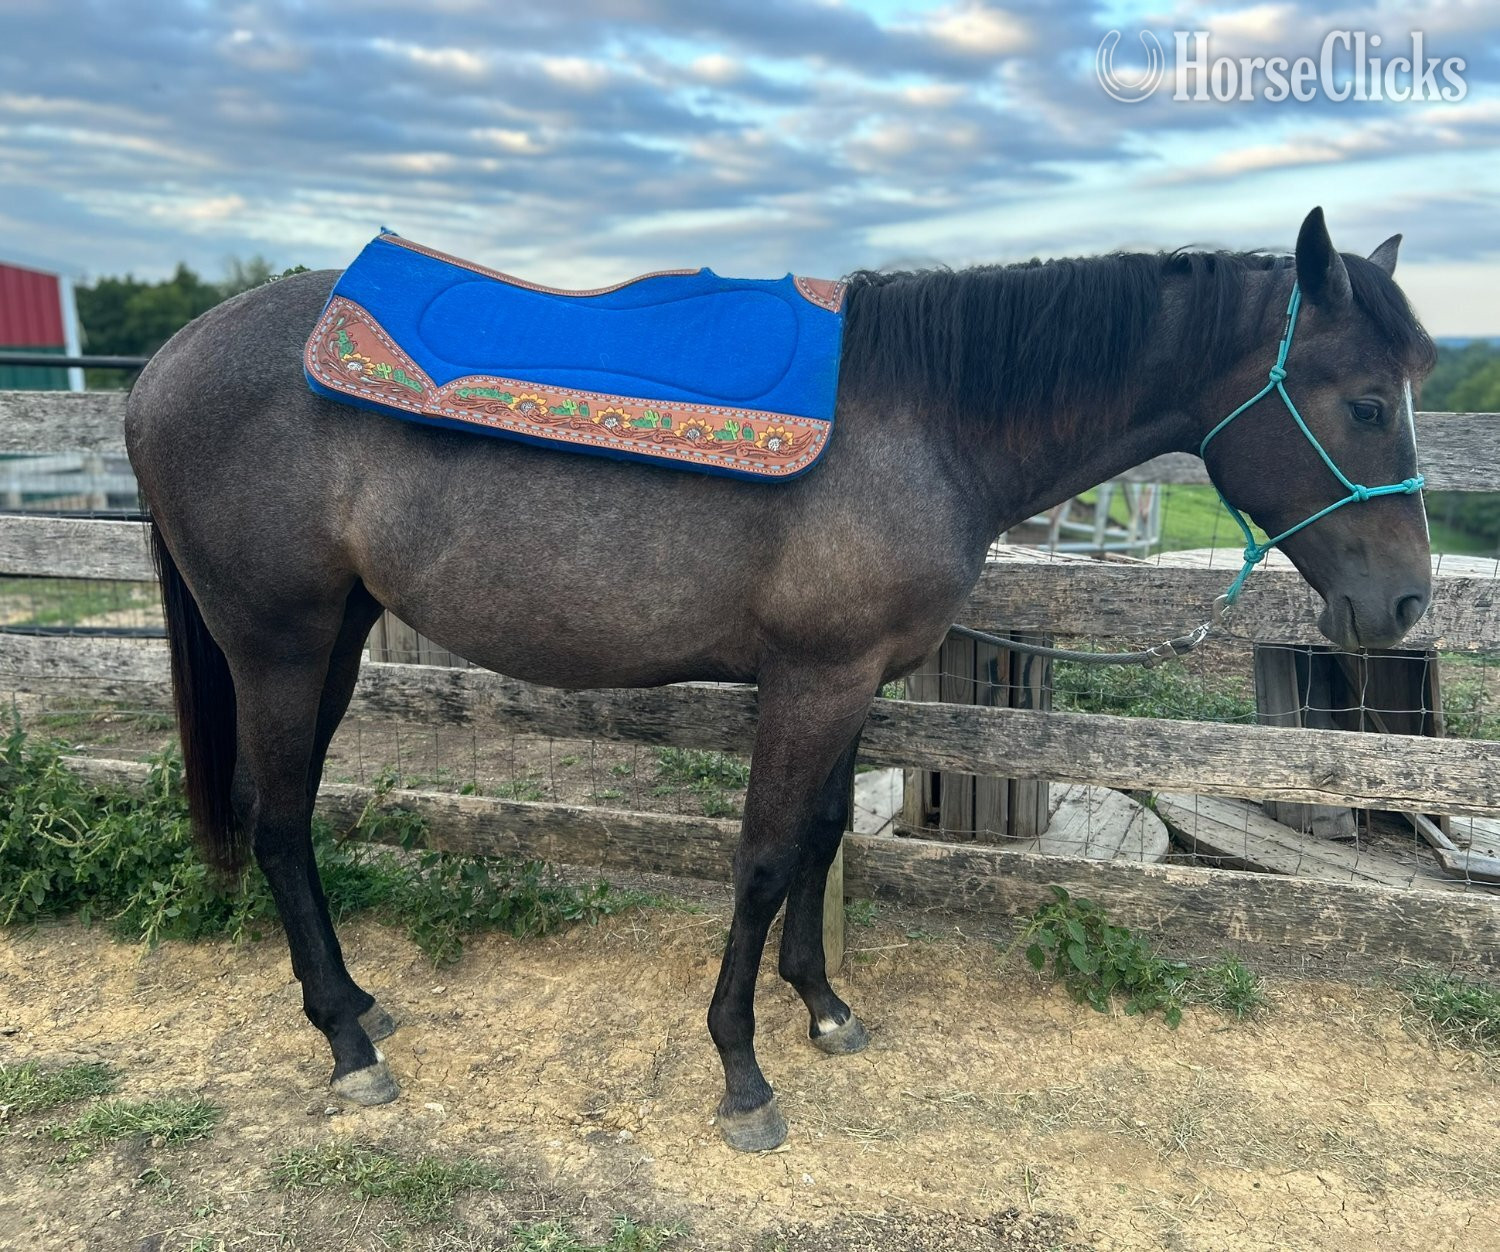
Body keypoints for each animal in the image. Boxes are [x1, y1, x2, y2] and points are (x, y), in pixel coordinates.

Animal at [125, 207, 1434, 1152]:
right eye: (1368, 401)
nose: (1407, 608)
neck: (923, 421)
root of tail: (158, 372)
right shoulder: (811, 680)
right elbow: (760, 858)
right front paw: (742, 1071)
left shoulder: (852, 680)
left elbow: (817, 837)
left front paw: (826, 1008)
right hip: (278, 642)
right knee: (279, 820)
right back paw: (348, 1047)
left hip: (335, 636)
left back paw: (358, 1009)